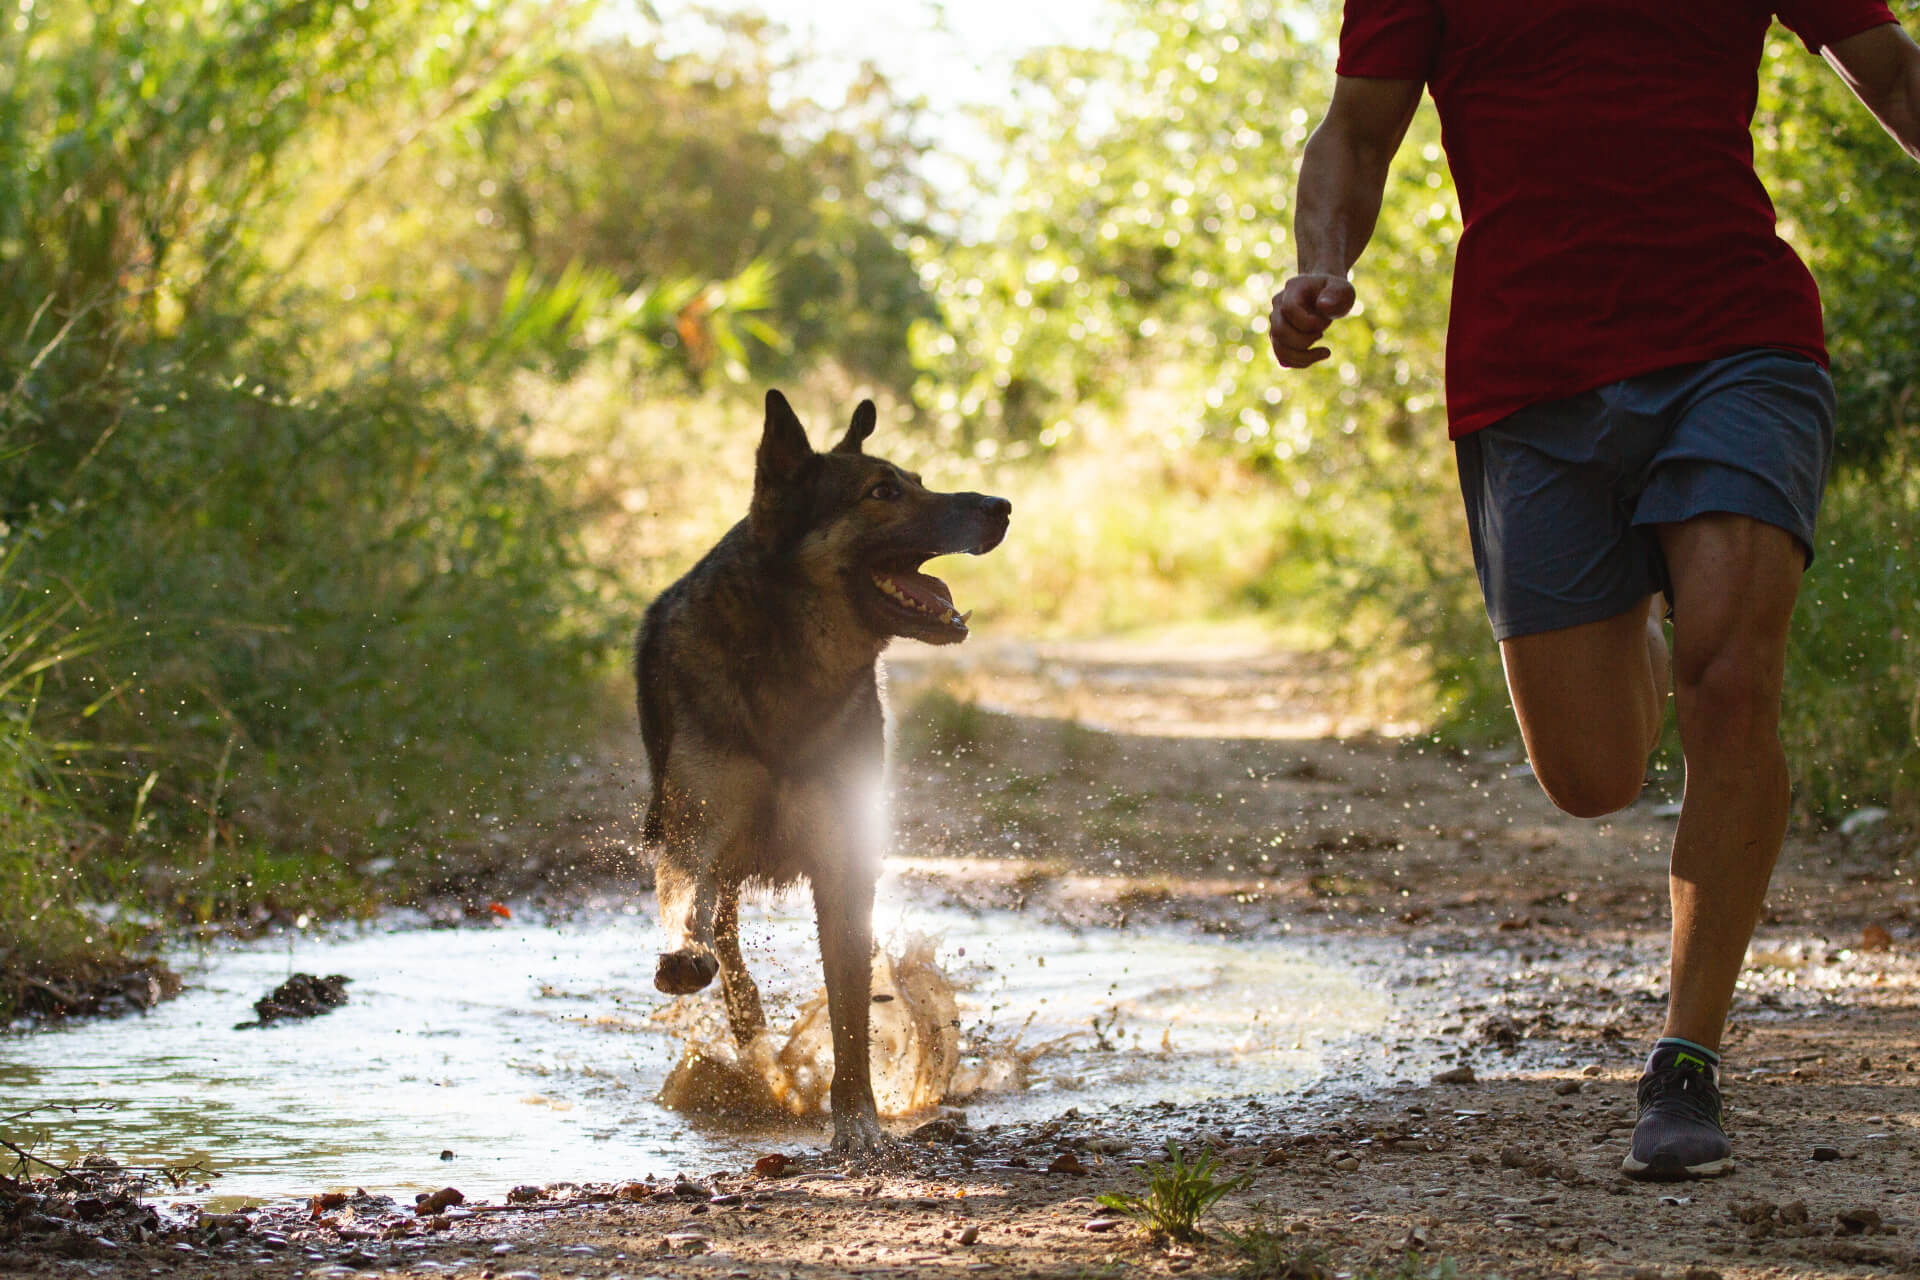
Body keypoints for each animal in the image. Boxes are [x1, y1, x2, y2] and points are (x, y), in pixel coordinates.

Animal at [637, 391, 1013, 1159]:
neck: (794, 674)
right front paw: (684, 955)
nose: (1002, 506)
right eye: (882, 493)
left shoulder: (844, 860)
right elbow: (687, 904)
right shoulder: (695, 835)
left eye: (918, 480)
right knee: (727, 937)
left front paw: (858, 1120)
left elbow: (849, 1010)